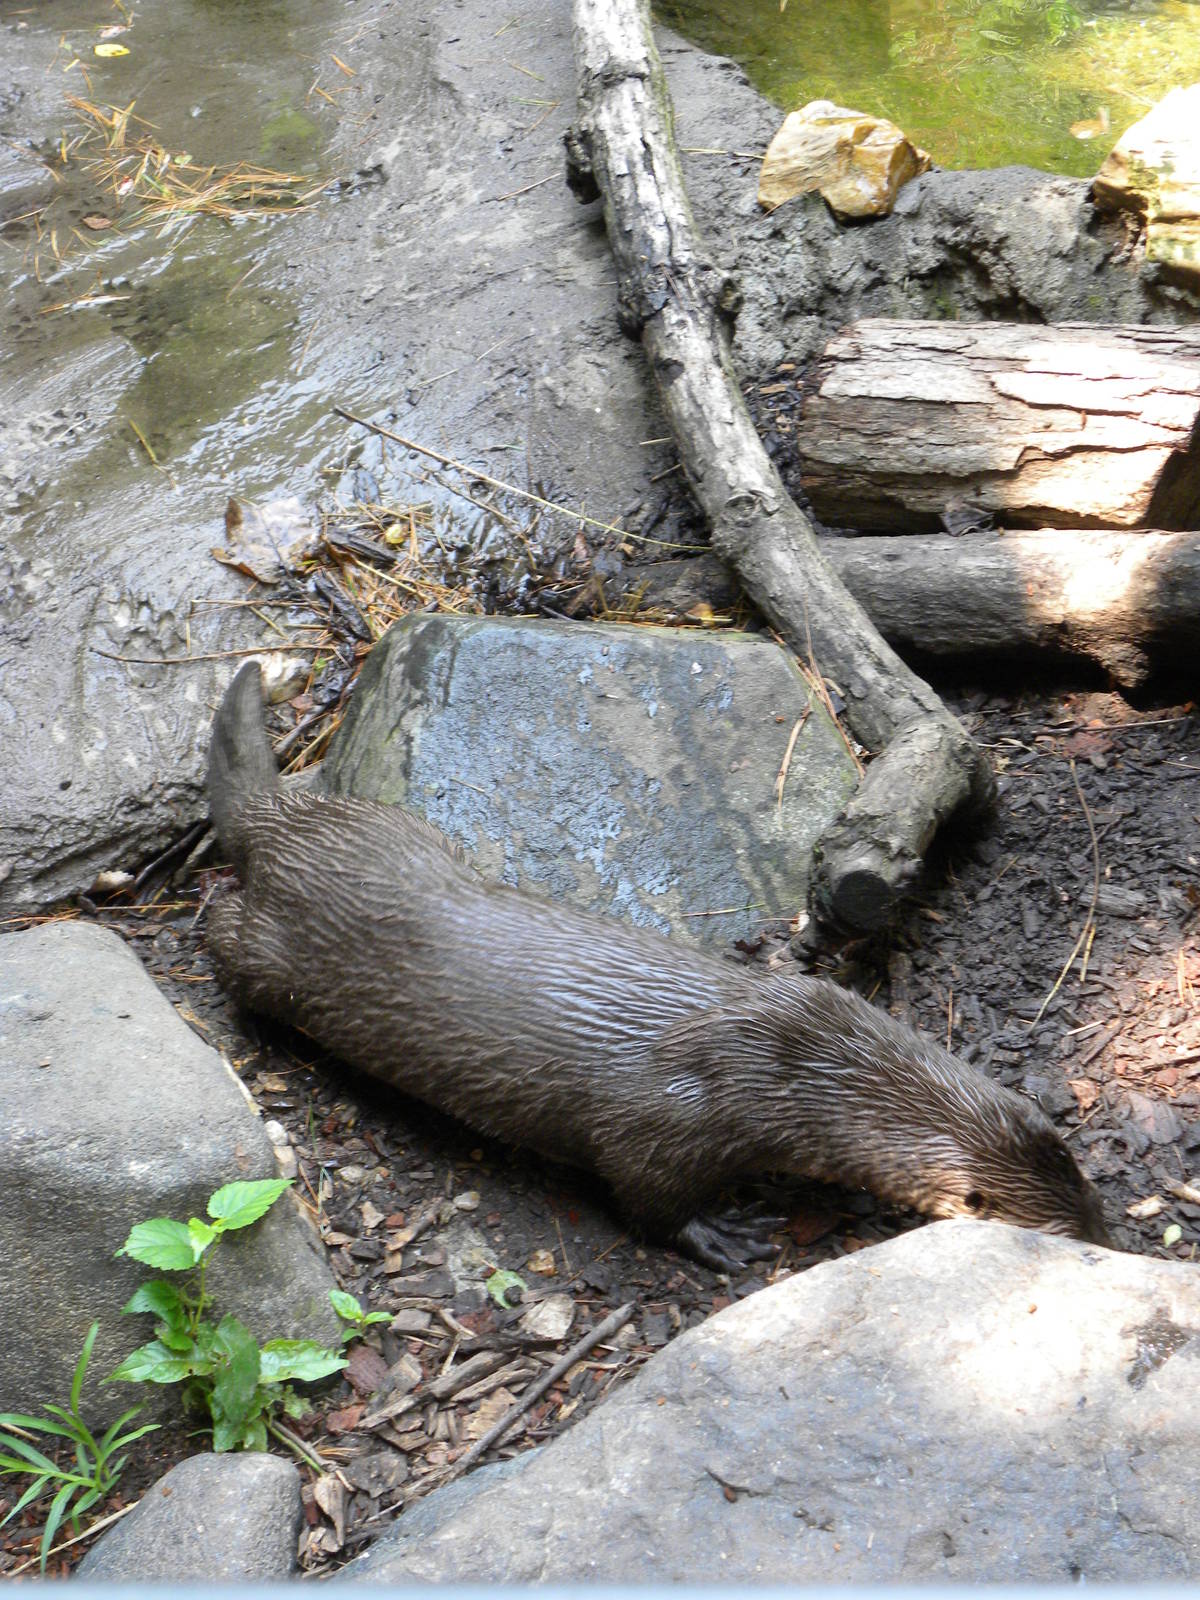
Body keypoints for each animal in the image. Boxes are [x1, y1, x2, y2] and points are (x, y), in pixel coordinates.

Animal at [205, 663, 1109, 1269]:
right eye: (1067, 1242)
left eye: (1092, 1195)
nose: (1111, 1238)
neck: (802, 1067)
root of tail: (283, 822)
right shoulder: (667, 1126)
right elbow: (643, 1190)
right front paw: (721, 1232)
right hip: (274, 955)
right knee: (225, 931)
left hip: (399, 830)